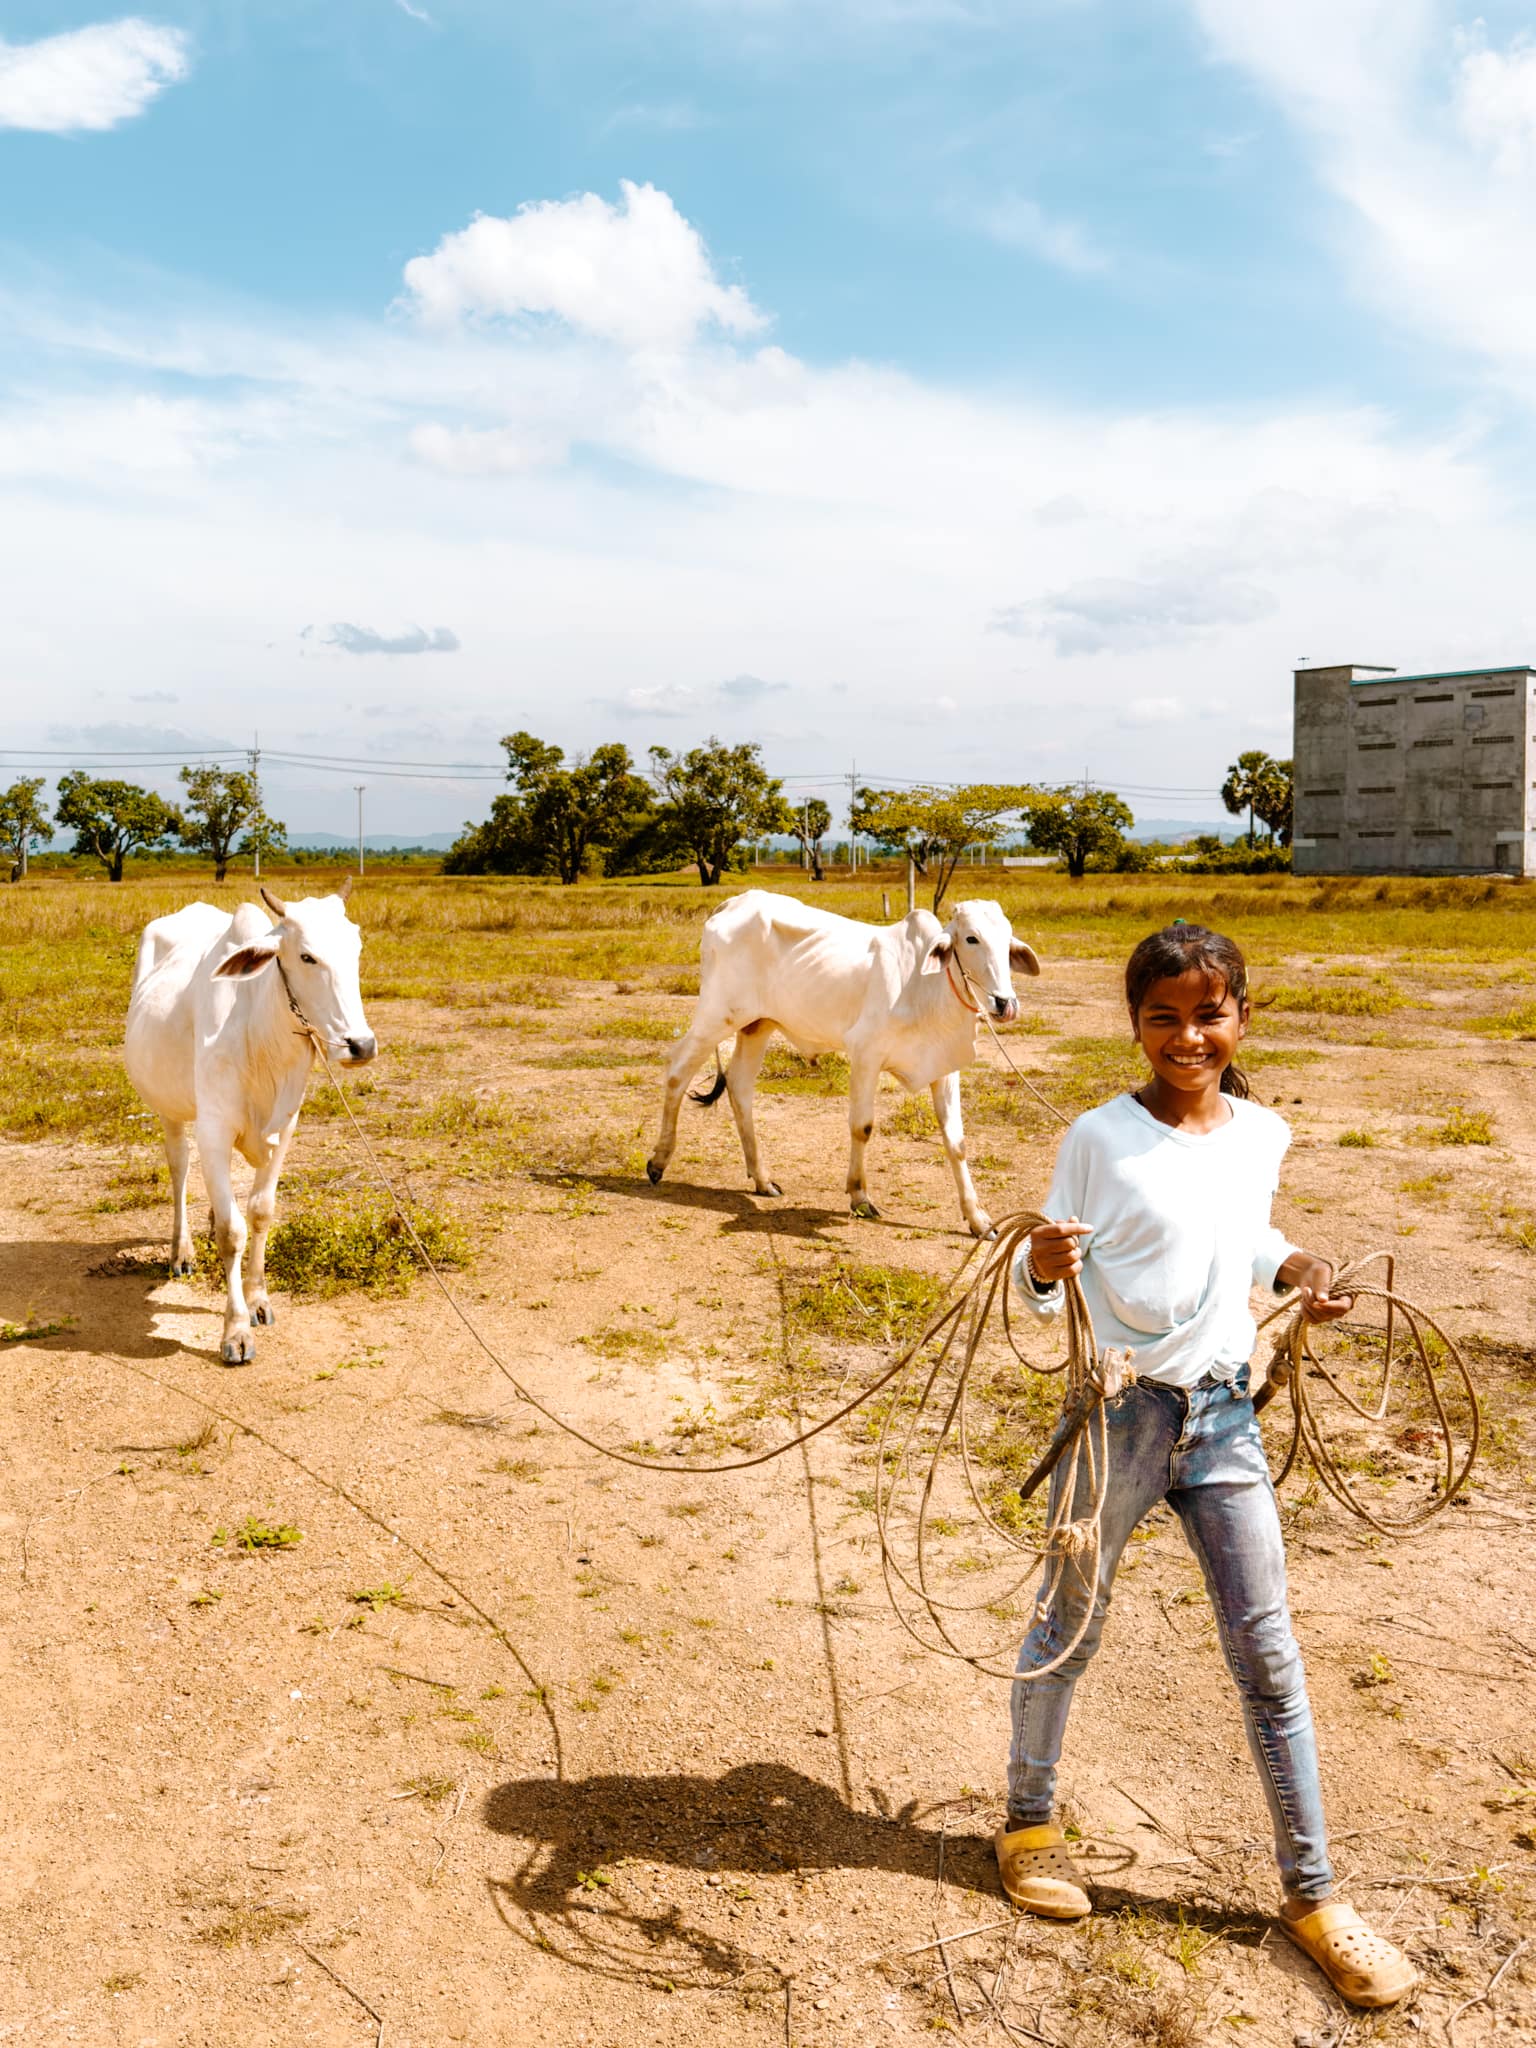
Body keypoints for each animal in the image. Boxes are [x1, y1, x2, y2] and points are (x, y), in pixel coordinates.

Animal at [651, 892, 1048, 1228]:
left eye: (1007, 941)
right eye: (971, 939)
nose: (1005, 1003)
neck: (924, 988)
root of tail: (733, 902)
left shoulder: (944, 1068)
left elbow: (956, 1142)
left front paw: (977, 1218)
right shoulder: (865, 1055)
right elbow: (863, 1127)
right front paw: (859, 1195)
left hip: (756, 1026)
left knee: (739, 1087)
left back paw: (762, 1179)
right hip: (716, 1016)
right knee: (677, 1072)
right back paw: (658, 1162)